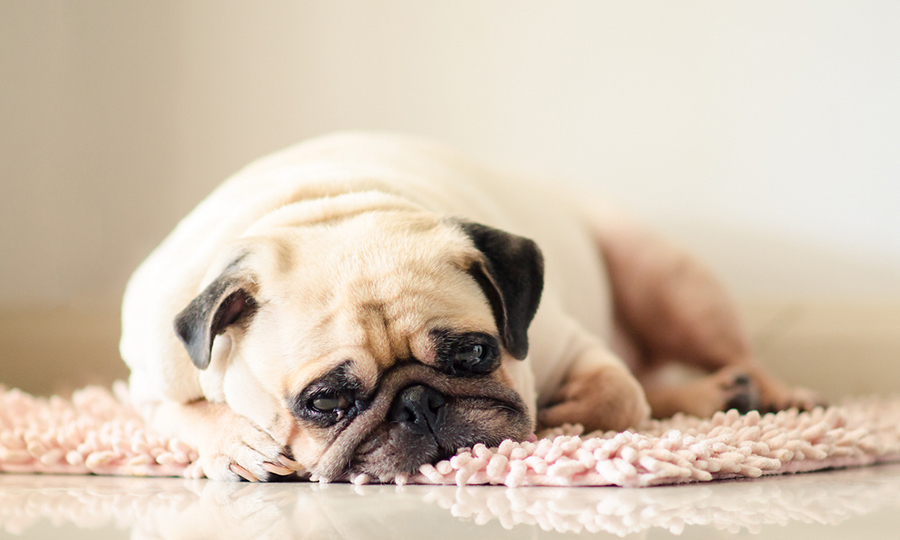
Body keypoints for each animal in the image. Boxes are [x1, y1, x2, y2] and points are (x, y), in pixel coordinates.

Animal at [121, 133, 824, 484]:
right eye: (327, 403)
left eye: (477, 354)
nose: (419, 403)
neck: (327, 209)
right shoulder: (146, 382)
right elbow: (185, 415)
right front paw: (238, 443)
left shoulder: (567, 343)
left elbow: (619, 394)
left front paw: (564, 414)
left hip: (666, 279)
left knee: (713, 358)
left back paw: (767, 393)